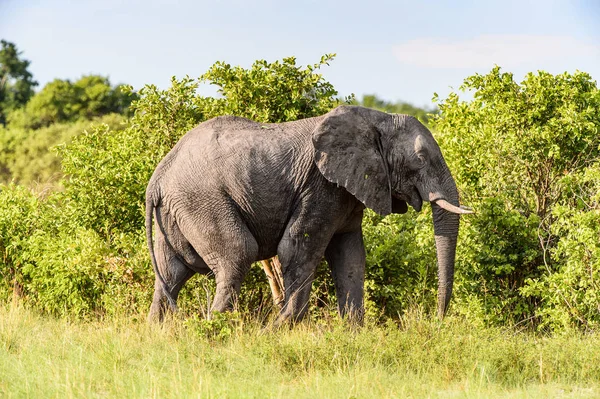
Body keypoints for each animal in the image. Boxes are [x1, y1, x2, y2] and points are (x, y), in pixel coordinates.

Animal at [146, 104, 474, 324]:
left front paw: (353, 335)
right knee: (238, 254)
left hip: (177, 210)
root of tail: (158, 176)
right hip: (202, 199)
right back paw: (215, 330)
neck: (377, 118)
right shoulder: (319, 187)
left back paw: (159, 333)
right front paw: (277, 331)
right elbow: (296, 249)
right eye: (420, 158)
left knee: (171, 272)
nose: (437, 320)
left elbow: (351, 255)